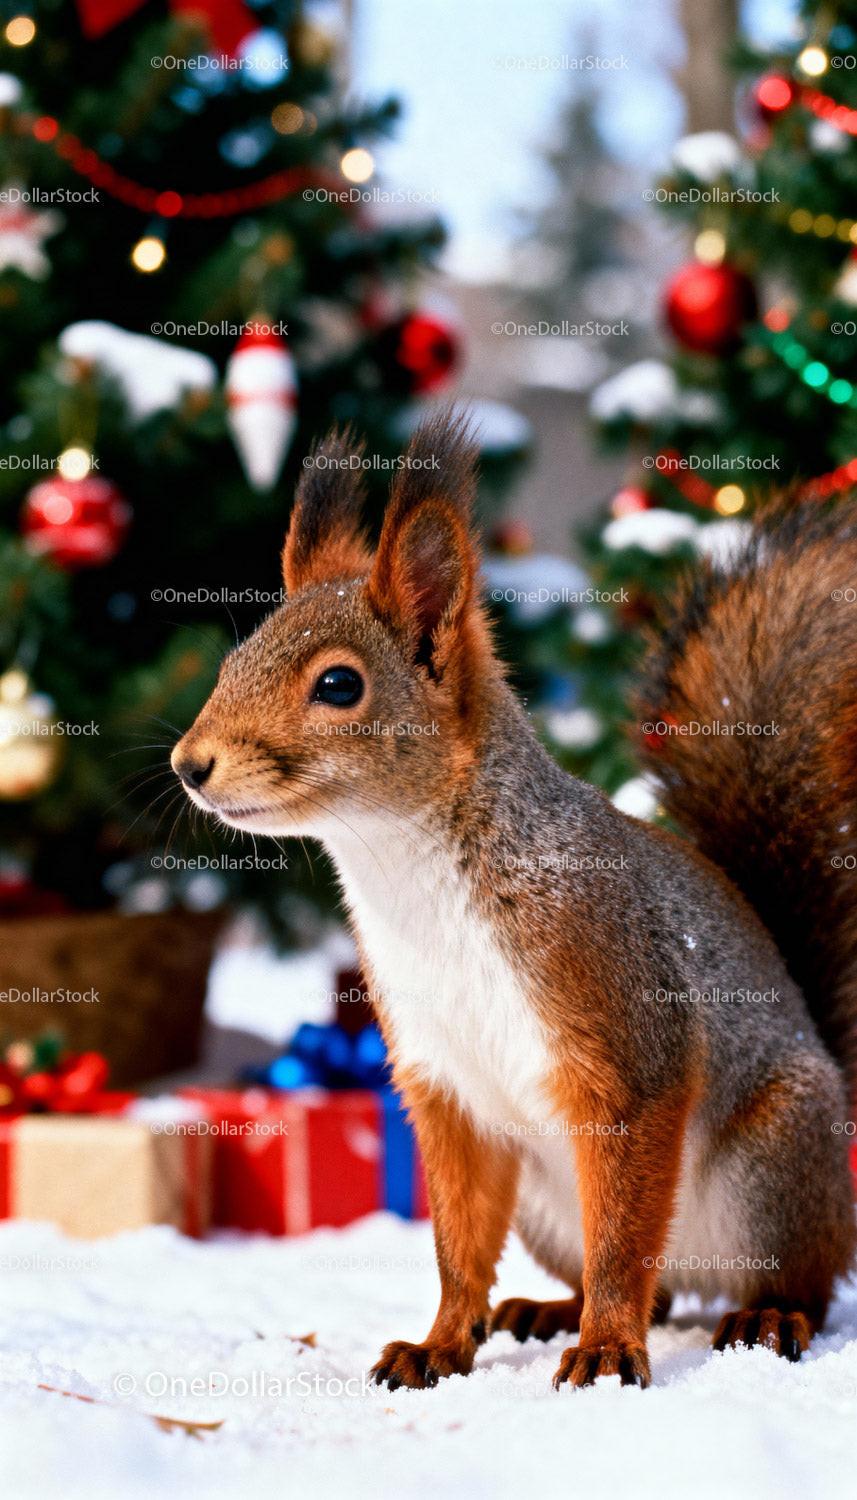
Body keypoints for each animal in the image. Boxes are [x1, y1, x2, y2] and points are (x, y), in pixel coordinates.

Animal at [172, 413, 857, 1392]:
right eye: (230, 662)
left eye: (339, 684)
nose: (189, 765)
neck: (404, 872)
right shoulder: (442, 1085)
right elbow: (458, 1243)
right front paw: (436, 1345)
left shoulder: (622, 1043)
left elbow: (623, 1237)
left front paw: (606, 1353)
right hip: (546, 1205)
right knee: (649, 1287)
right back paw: (549, 1309)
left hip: (775, 1164)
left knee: (788, 1277)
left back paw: (760, 1316)